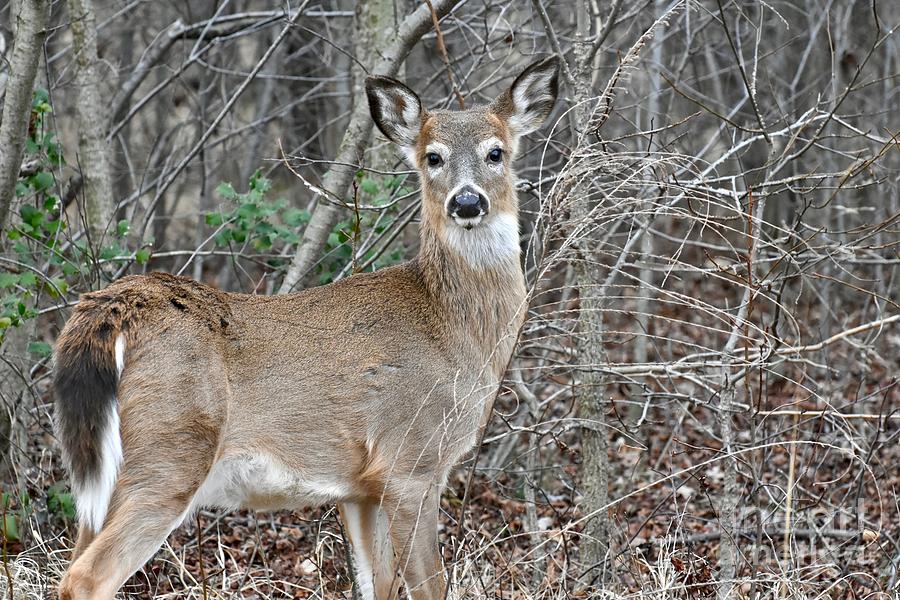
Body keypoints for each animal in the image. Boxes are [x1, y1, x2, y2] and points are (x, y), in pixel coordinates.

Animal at [52, 56, 560, 600]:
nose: (467, 203)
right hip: (170, 451)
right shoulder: (410, 459)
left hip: (105, 475)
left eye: (496, 152)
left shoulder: (362, 486)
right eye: (433, 157)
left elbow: (377, 585)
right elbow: (430, 586)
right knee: (85, 577)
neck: (451, 331)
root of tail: (114, 308)